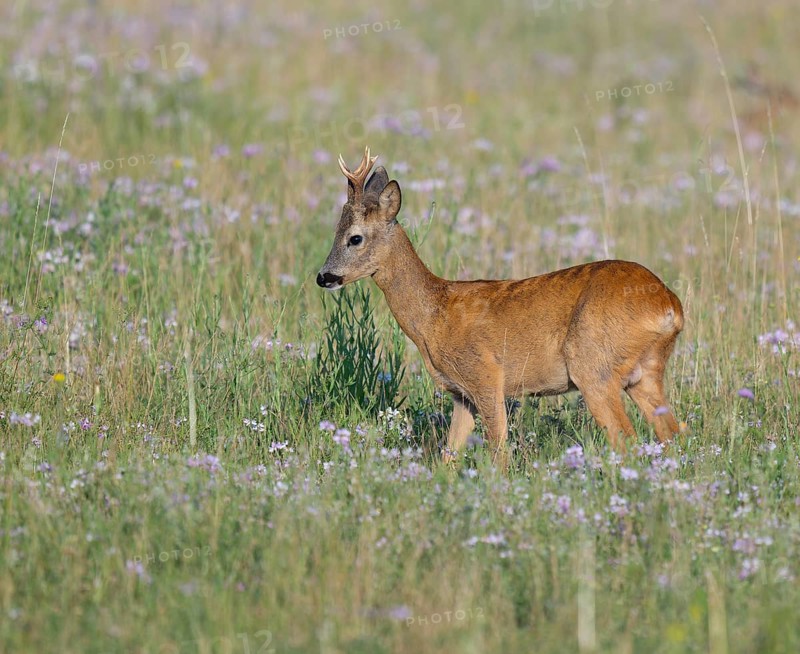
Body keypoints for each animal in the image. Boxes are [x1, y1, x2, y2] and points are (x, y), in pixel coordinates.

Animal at [316, 147, 685, 464]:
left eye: (355, 237)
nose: (323, 276)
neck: (435, 315)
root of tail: (670, 306)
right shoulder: (461, 394)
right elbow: (449, 456)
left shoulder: (486, 376)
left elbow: (498, 452)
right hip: (646, 372)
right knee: (672, 433)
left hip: (594, 366)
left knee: (627, 439)